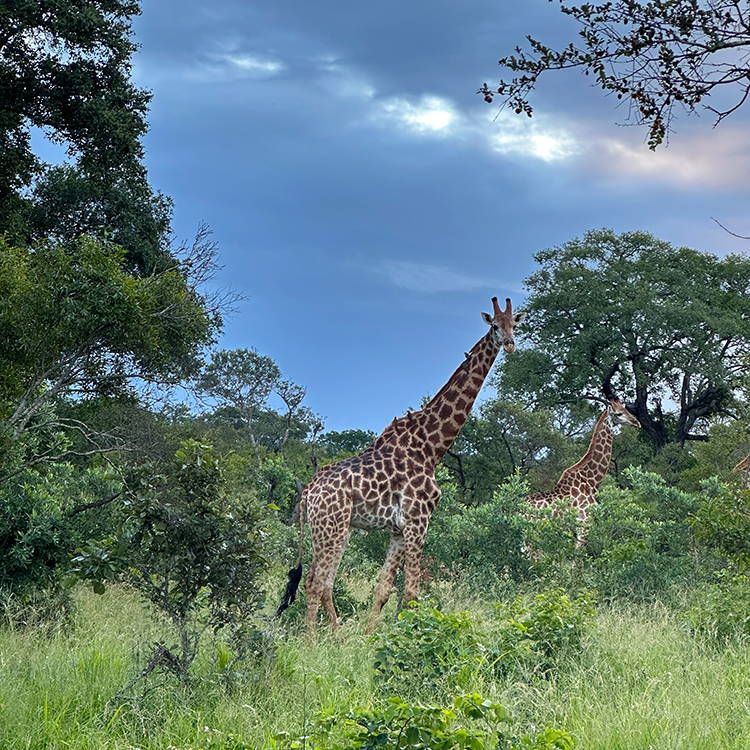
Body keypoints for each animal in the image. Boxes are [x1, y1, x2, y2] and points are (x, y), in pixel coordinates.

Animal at [276, 297, 525, 636]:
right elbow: (411, 593)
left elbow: (383, 589)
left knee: (324, 582)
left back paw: (337, 637)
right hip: (331, 527)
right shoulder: (419, 520)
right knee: (314, 582)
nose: (510, 345)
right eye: (495, 326)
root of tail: (308, 493)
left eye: (515, 325)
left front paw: (369, 639)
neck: (431, 446)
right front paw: (412, 638)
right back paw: (313, 642)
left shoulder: (397, 528)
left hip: (334, 529)